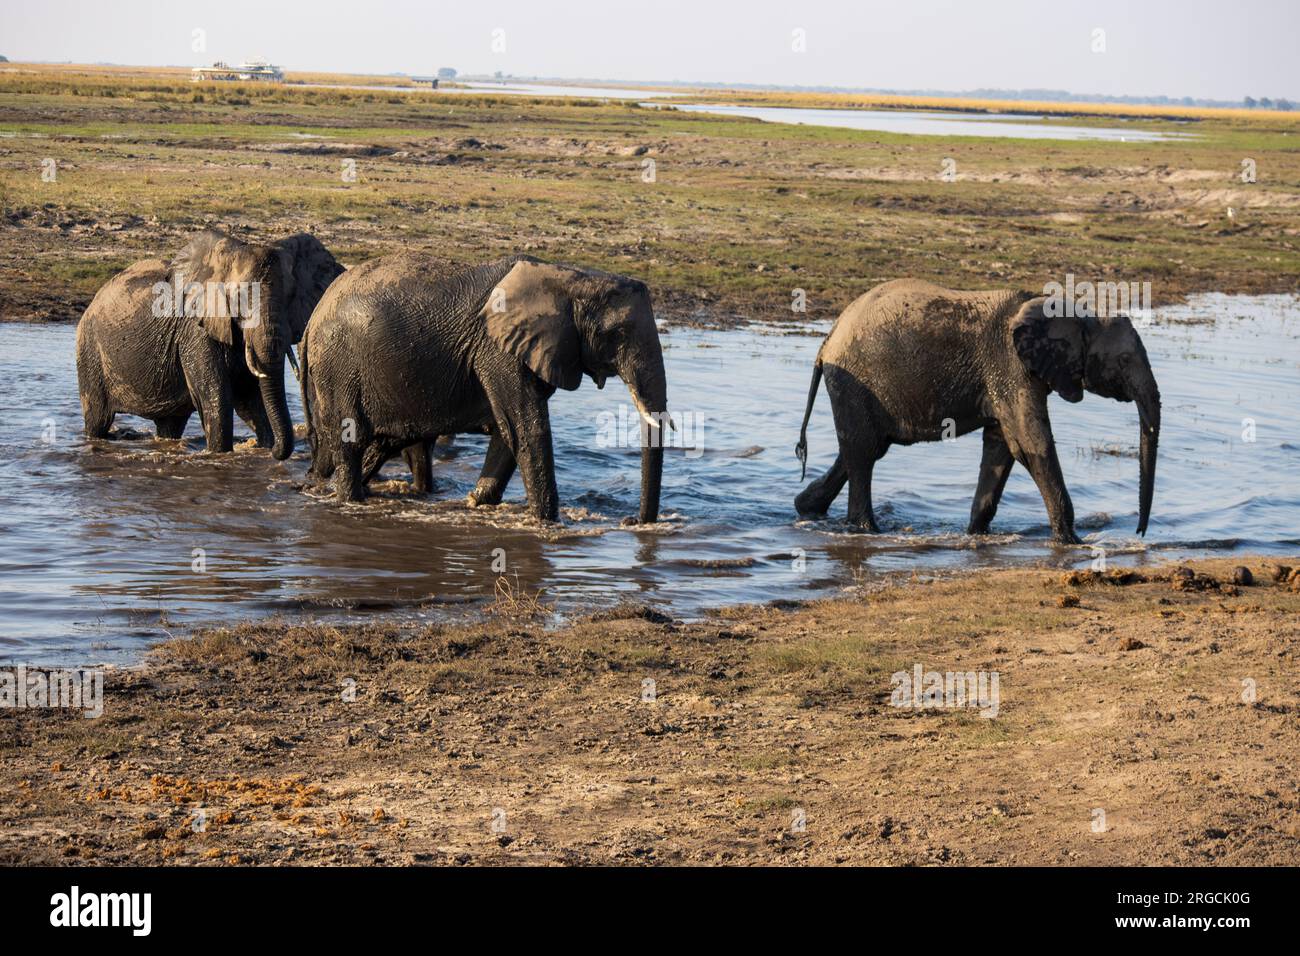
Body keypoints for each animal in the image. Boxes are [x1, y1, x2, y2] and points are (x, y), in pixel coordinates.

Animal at [74, 230, 343, 457]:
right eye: (239, 298)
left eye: (290, 296)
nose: (278, 452)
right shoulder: (196, 331)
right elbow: (218, 400)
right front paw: (221, 455)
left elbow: (249, 401)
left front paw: (263, 448)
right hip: (90, 351)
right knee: (97, 418)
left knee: (170, 424)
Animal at [301, 254, 670, 522]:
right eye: (617, 334)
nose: (632, 522)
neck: (569, 279)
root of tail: (312, 318)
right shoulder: (498, 352)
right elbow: (527, 430)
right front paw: (548, 523)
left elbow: (507, 434)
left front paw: (476, 503)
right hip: (338, 367)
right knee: (352, 440)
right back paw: (349, 500)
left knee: (381, 443)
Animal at [795, 280, 1164, 541]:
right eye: (1125, 360)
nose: (1140, 533)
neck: (1077, 313)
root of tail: (828, 339)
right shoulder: (1009, 363)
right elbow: (1031, 443)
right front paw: (1072, 542)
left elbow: (1002, 446)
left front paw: (977, 535)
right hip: (853, 382)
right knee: (862, 453)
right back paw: (867, 530)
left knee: (863, 449)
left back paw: (807, 509)